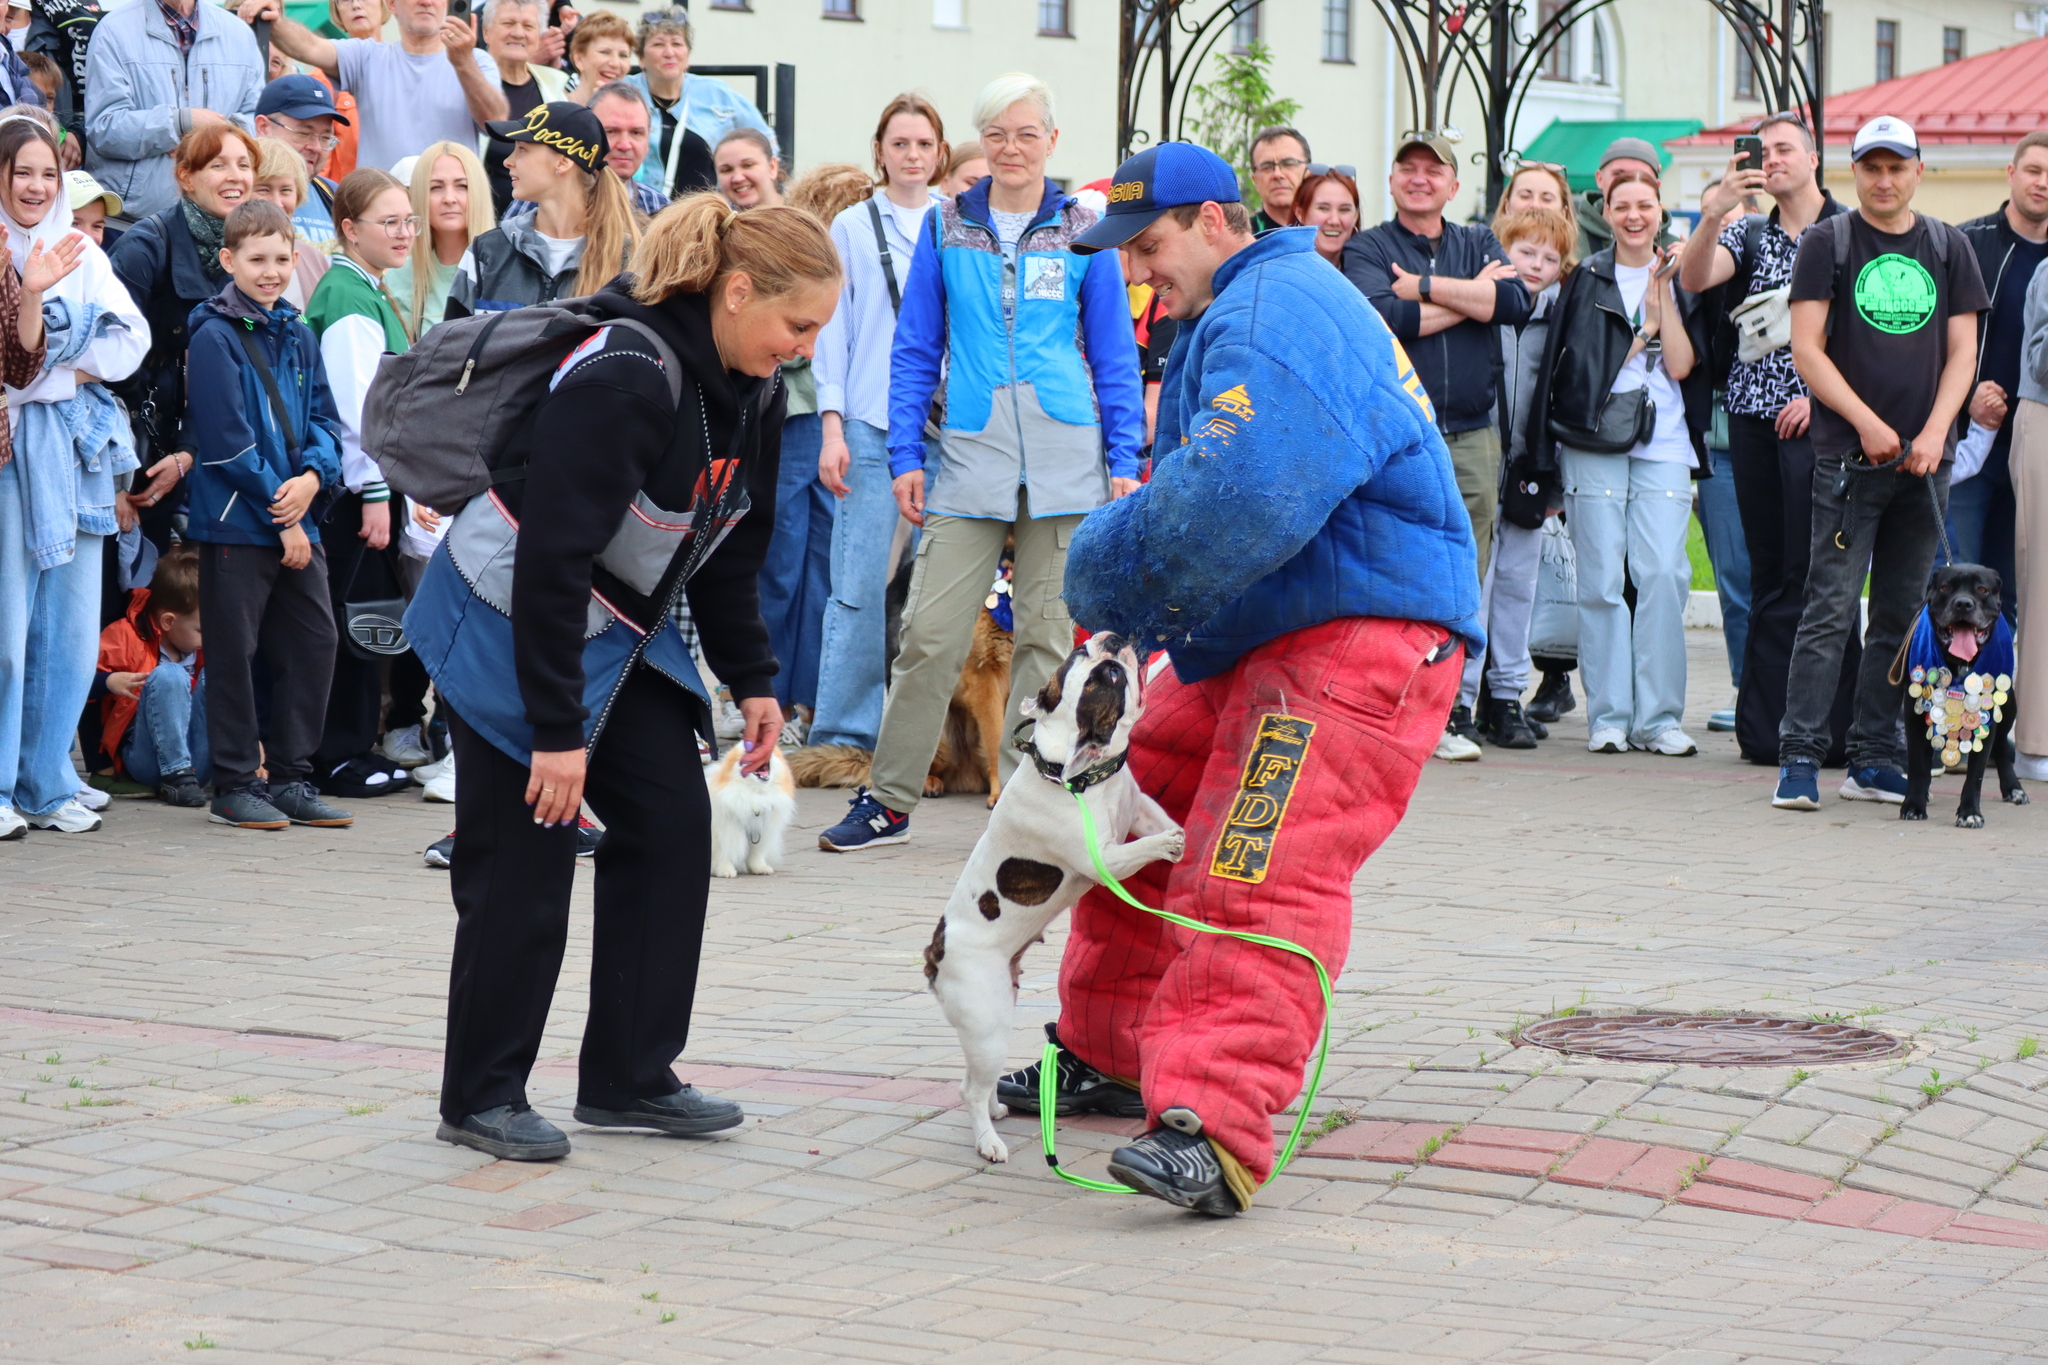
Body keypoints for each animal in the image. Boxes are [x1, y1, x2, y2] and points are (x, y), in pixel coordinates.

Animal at [708, 740, 794, 879]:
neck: (755, 795)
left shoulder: (761, 829)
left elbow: (756, 853)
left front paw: (759, 868)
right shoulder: (724, 831)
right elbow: (723, 853)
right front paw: (724, 870)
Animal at [917, 634, 1179, 1162]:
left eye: (1079, 654)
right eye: (1108, 679)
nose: (1110, 638)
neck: (1072, 770)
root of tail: (936, 955)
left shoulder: (1138, 807)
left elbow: (1157, 819)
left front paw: (1184, 836)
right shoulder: (1103, 860)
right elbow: (1138, 849)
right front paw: (1167, 845)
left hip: (994, 1016)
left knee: (975, 1079)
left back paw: (996, 1111)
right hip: (988, 1020)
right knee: (969, 1089)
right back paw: (989, 1142)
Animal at [1900, 564, 2031, 826]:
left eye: (1982, 589)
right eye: (1945, 587)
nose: (1963, 603)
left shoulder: (1986, 715)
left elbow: (1976, 773)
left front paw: (1970, 812)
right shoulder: (1914, 713)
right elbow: (1918, 763)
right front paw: (1914, 804)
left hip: (2009, 706)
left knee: (2002, 746)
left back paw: (2013, 788)